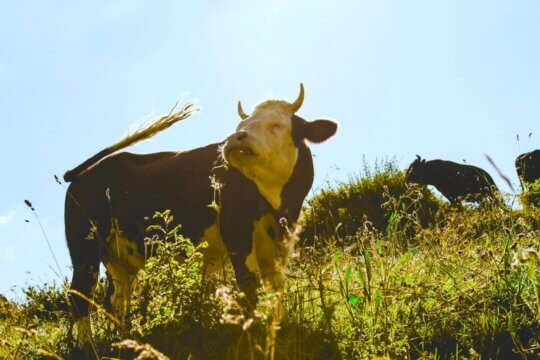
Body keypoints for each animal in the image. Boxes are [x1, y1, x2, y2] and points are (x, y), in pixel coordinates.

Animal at [63, 85, 338, 352]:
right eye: (241, 125)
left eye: (277, 124)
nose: (235, 138)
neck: (276, 204)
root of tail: (84, 174)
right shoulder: (235, 229)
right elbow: (249, 282)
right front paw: (251, 331)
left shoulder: (279, 239)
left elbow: (275, 285)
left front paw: (277, 327)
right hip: (85, 247)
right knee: (80, 295)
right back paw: (88, 347)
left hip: (118, 257)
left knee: (116, 301)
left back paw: (123, 340)